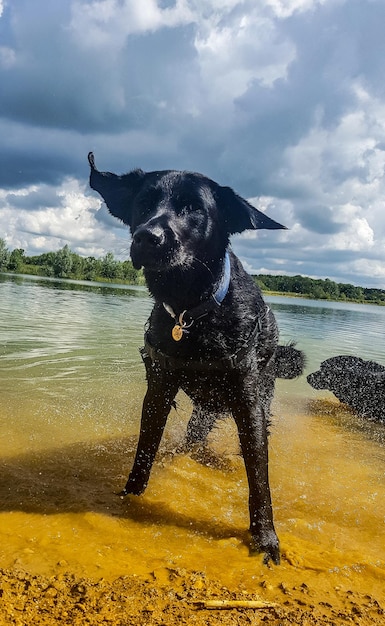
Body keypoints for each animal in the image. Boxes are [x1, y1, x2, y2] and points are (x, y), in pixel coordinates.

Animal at [88, 154, 304, 564]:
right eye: (143, 203)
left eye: (194, 208)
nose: (148, 237)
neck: (192, 312)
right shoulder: (158, 387)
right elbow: (145, 449)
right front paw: (130, 496)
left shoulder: (249, 402)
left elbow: (258, 474)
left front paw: (265, 538)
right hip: (202, 411)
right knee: (191, 440)